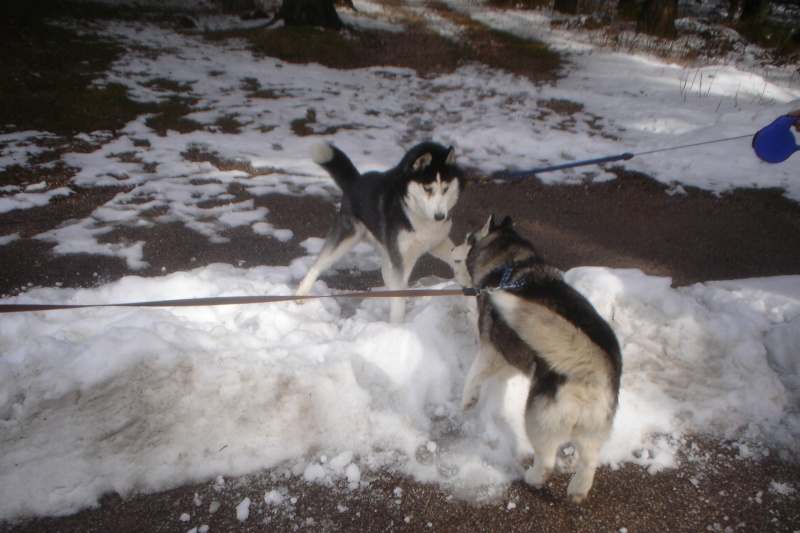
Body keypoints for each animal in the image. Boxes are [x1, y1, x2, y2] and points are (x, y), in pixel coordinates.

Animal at [296, 141, 462, 322]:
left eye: (446, 188)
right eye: (427, 188)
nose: (440, 216)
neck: (415, 214)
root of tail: (356, 180)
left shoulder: (438, 241)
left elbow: (458, 257)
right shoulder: (400, 256)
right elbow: (397, 304)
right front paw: (397, 326)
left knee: (386, 273)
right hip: (346, 238)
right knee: (317, 265)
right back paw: (302, 292)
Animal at [456, 215, 620, 502]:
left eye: (467, 239)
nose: (454, 247)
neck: (510, 264)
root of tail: (593, 365)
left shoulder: (490, 348)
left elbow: (474, 374)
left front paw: (468, 400)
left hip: (538, 420)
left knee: (547, 462)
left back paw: (532, 477)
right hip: (593, 427)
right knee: (590, 461)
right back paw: (577, 490)